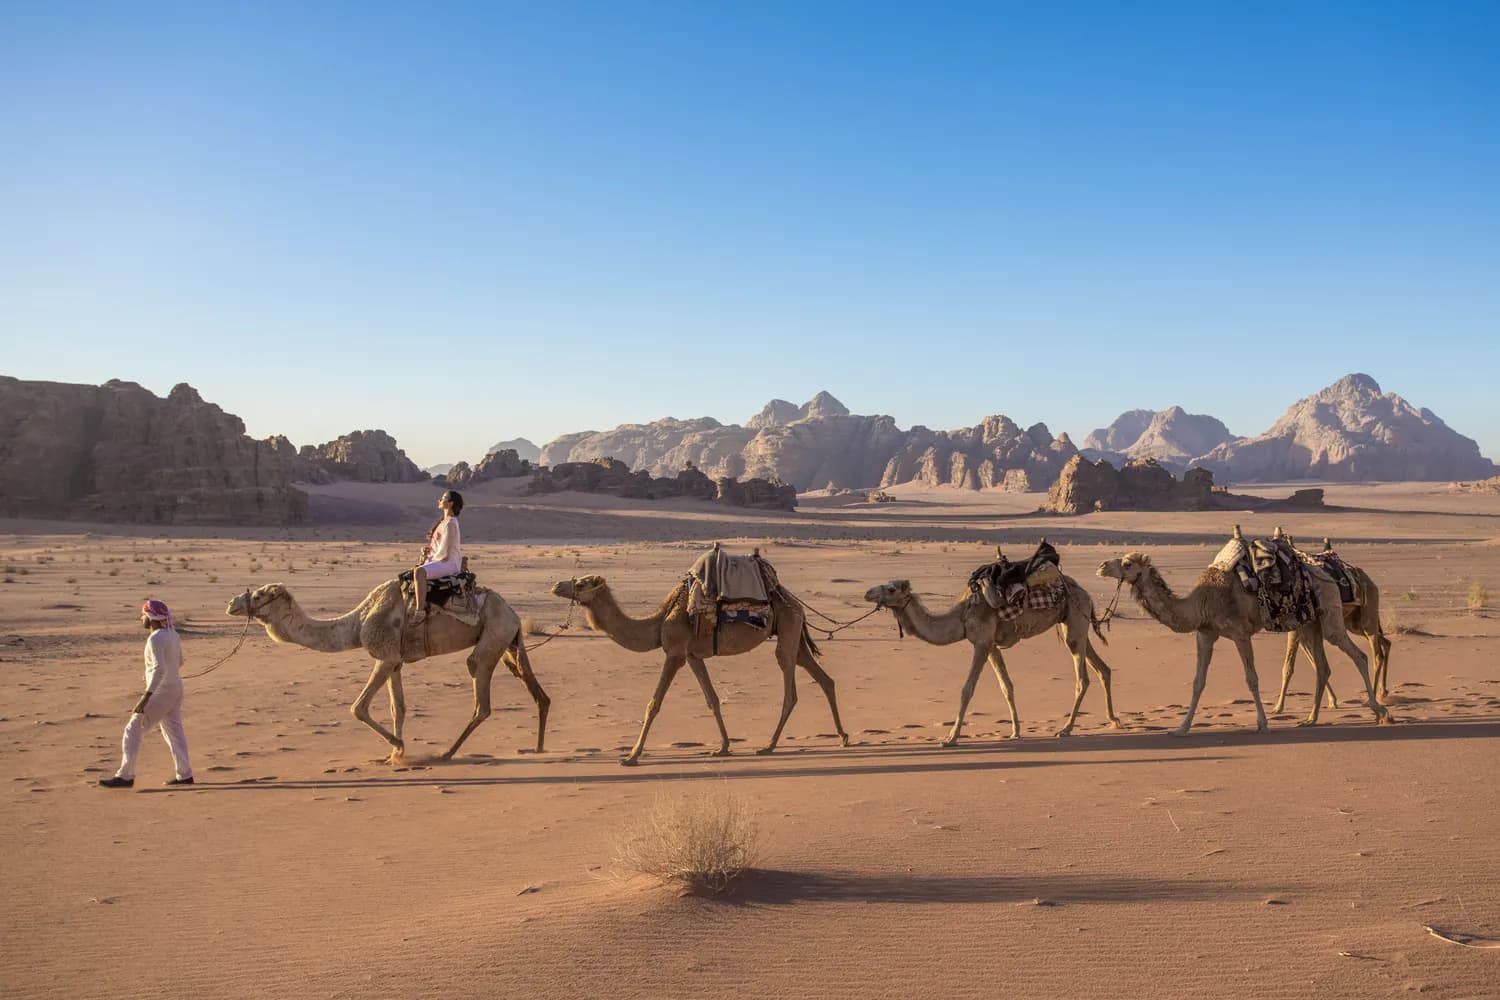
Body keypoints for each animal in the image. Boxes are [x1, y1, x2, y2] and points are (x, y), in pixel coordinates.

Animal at [226, 581, 548, 762]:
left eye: (259, 596)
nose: (231, 603)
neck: (357, 623)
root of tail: (513, 614)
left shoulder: (384, 655)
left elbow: (358, 707)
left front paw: (399, 747)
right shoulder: (395, 661)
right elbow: (398, 708)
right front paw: (395, 753)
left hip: (492, 638)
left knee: (481, 696)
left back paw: (447, 753)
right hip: (509, 643)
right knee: (536, 692)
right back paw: (537, 748)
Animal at [549, 574, 850, 765]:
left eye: (581, 582)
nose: (555, 585)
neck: (659, 622)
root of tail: (796, 603)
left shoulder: (675, 653)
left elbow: (653, 704)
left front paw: (631, 756)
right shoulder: (693, 656)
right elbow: (712, 699)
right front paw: (724, 748)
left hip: (787, 627)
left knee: (790, 687)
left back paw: (769, 746)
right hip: (793, 632)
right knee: (823, 678)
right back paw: (843, 737)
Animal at [863, 576, 1122, 746]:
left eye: (891, 589)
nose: (867, 593)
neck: (961, 616)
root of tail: (1086, 594)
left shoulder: (981, 642)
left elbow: (967, 689)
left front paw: (951, 737)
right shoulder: (992, 646)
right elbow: (1006, 686)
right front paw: (1015, 731)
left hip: (1075, 623)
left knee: (1083, 678)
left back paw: (1066, 729)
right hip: (1075, 625)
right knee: (1103, 669)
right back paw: (1113, 720)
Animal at [1095, 547, 1391, 735]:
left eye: (1127, 564)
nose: (1101, 566)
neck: (1200, 603)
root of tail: (1326, 573)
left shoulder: (1239, 633)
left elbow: (1252, 678)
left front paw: (1263, 723)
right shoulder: (1205, 633)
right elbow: (1198, 682)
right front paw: (1181, 728)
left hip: (1330, 613)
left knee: (1359, 655)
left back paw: (1380, 711)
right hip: (1309, 623)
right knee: (1323, 666)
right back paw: (1310, 719)